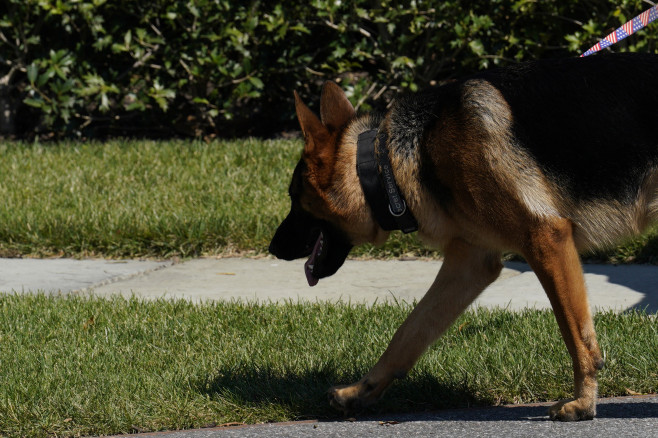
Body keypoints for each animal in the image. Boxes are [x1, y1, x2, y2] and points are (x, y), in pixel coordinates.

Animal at [268, 52, 656, 420]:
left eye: (294, 198)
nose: (272, 247)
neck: (386, 164)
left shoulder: (545, 238)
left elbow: (576, 335)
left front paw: (583, 403)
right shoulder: (471, 263)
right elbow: (410, 331)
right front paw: (361, 391)